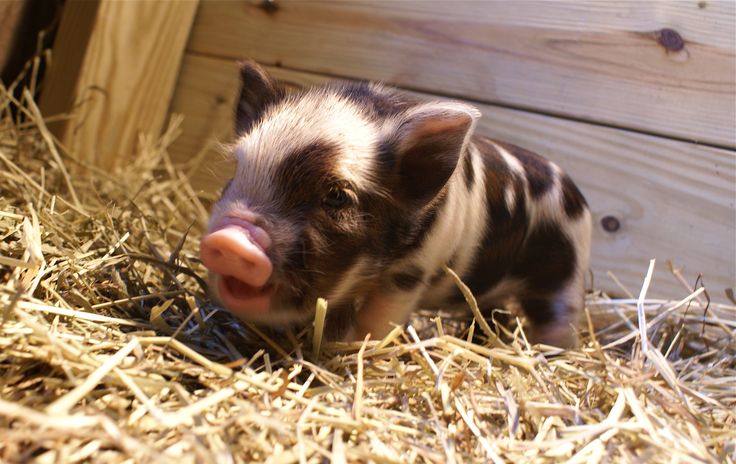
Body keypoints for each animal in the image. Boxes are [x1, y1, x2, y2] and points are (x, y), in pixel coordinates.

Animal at [199, 61, 592, 348]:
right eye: (238, 169)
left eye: (337, 195)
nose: (230, 239)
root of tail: (577, 195)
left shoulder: (411, 273)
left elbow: (379, 316)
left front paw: (357, 346)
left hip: (562, 277)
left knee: (558, 317)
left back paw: (551, 354)